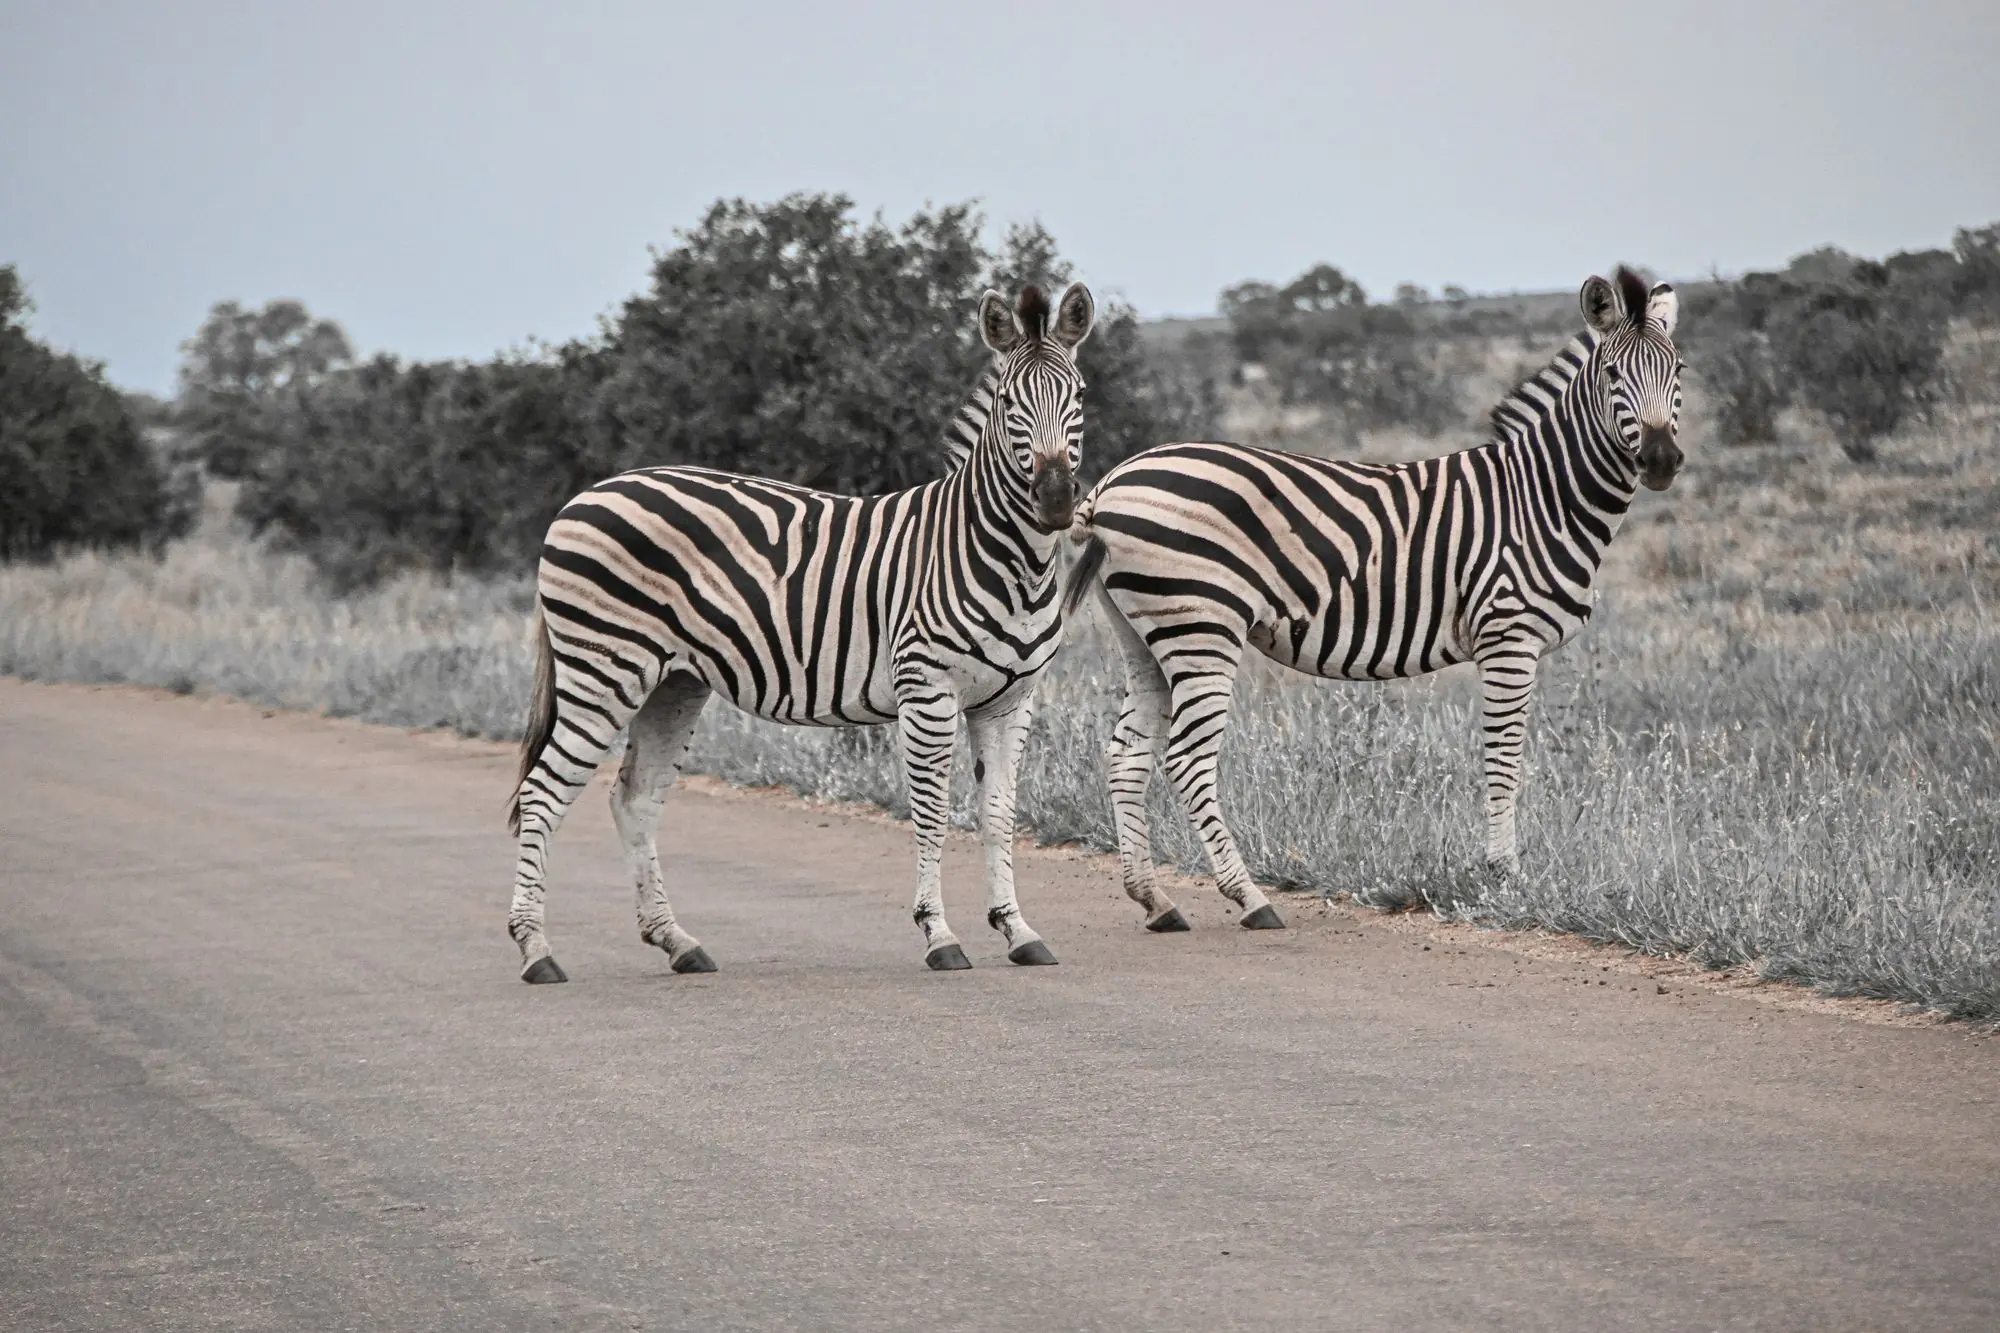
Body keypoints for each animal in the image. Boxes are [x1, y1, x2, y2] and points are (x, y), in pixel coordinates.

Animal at [506, 282, 1095, 982]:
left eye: (1079, 395)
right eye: (1009, 404)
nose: (1055, 501)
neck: (1003, 557)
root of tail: (584, 496)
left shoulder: (1010, 699)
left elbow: (999, 814)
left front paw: (1017, 930)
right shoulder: (926, 688)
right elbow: (930, 813)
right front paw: (939, 936)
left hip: (672, 682)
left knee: (635, 798)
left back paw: (677, 941)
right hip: (605, 670)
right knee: (541, 794)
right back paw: (537, 950)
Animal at [1062, 268, 1683, 932]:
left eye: (1679, 371)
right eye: (1613, 374)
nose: (1661, 461)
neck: (1541, 496)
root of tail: (1108, 486)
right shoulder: (1509, 637)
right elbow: (1504, 756)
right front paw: (1505, 877)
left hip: (1143, 635)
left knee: (1127, 754)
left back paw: (1155, 900)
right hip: (1201, 628)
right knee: (1185, 758)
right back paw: (1249, 896)